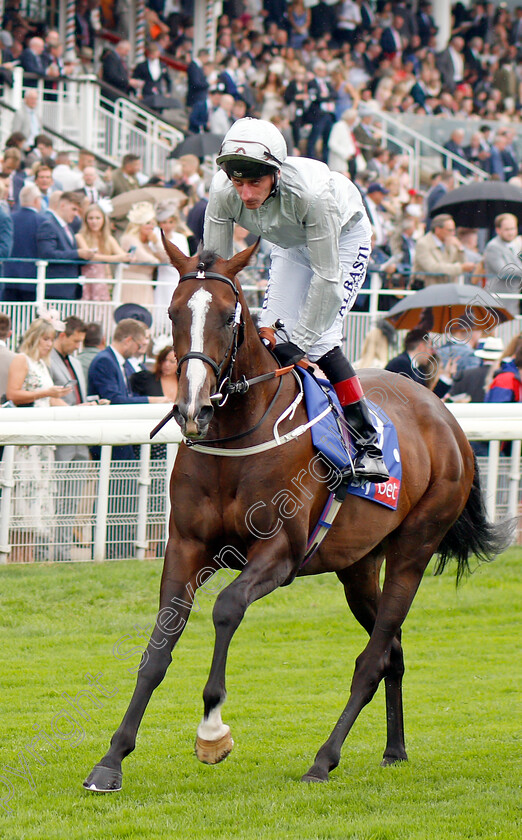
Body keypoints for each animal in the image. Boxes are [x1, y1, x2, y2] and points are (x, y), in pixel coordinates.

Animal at [84, 240, 508, 792]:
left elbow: (227, 608)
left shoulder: (280, 553)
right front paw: (111, 760)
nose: (193, 409)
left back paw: (323, 759)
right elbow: (157, 647)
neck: (238, 440)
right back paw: (394, 750)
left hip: (414, 548)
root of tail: (446, 417)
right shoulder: (185, 547)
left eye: (229, 315)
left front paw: (212, 731)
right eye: (173, 313)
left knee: (373, 657)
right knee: (391, 650)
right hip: (358, 566)